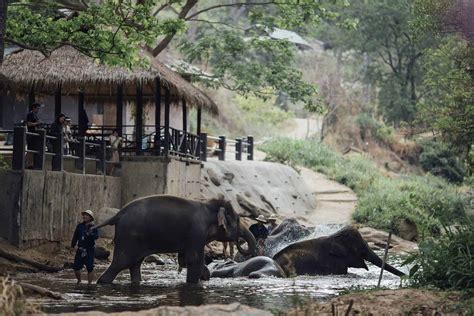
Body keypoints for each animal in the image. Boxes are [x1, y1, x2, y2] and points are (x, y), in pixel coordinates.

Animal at [92, 195, 256, 284]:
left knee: (135, 264)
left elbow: (185, 259)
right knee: (121, 263)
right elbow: (193, 260)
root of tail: (118, 214)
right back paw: (102, 282)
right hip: (128, 237)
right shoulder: (196, 232)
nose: (238, 241)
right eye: (238, 220)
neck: (209, 207)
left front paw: (205, 276)